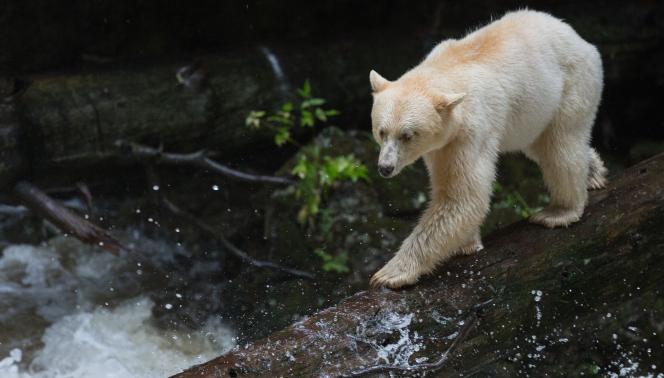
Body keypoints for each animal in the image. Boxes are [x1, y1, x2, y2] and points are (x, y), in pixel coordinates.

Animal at [368, 10, 608, 288]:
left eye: (407, 135)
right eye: (381, 131)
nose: (385, 168)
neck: (448, 68)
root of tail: (579, 39)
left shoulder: (471, 129)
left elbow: (463, 197)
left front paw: (390, 273)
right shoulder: (444, 141)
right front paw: (467, 244)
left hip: (570, 85)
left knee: (560, 146)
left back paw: (559, 211)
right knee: (542, 146)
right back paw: (594, 174)